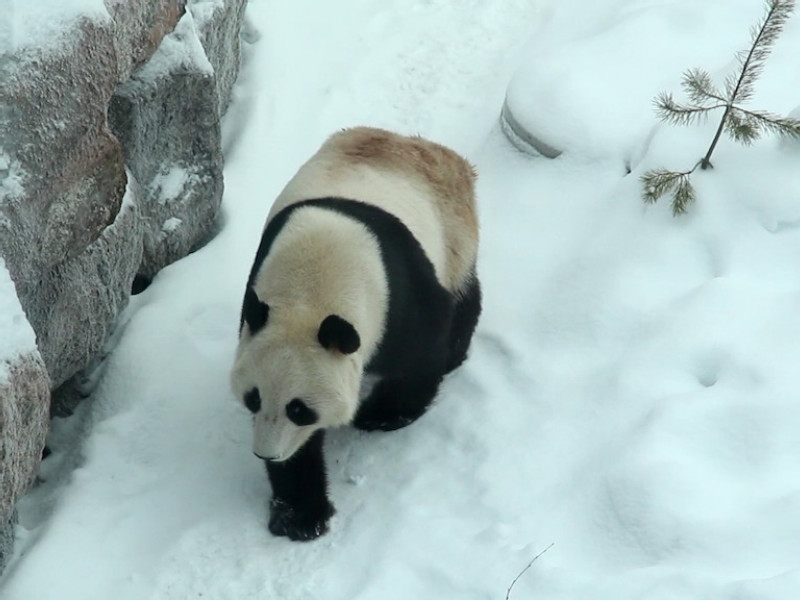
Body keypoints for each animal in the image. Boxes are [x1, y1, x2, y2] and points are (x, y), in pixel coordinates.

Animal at [231, 125, 482, 540]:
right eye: (253, 399)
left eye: (299, 409)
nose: (265, 453)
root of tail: (412, 141)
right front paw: (299, 515)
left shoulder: (399, 298)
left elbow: (422, 353)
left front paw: (382, 415)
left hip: (454, 231)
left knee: (464, 296)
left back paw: (455, 353)